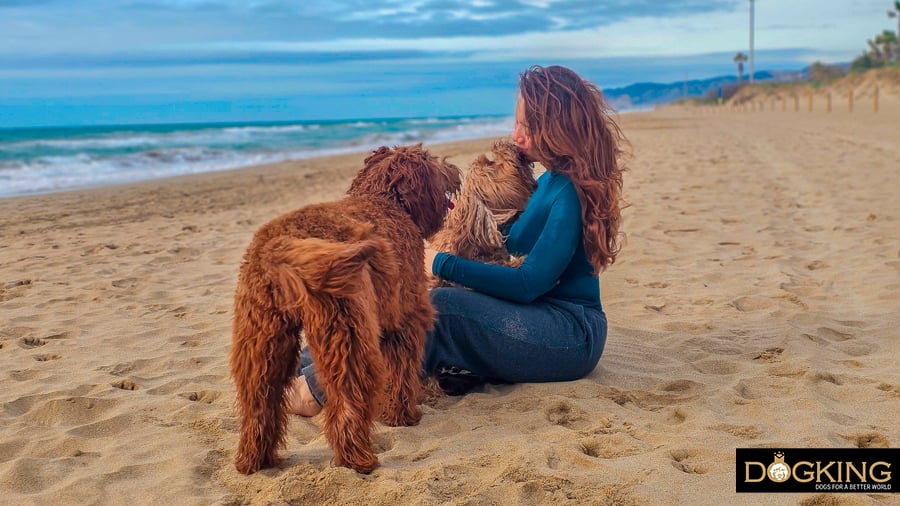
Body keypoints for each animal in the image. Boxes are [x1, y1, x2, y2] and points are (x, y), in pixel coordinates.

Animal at [229, 144, 460, 476]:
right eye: (431, 160)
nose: (455, 170)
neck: (386, 202)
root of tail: (282, 248)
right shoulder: (404, 321)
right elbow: (401, 373)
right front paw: (401, 416)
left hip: (262, 340)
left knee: (259, 401)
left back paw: (255, 459)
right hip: (345, 333)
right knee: (347, 399)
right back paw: (357, 458)